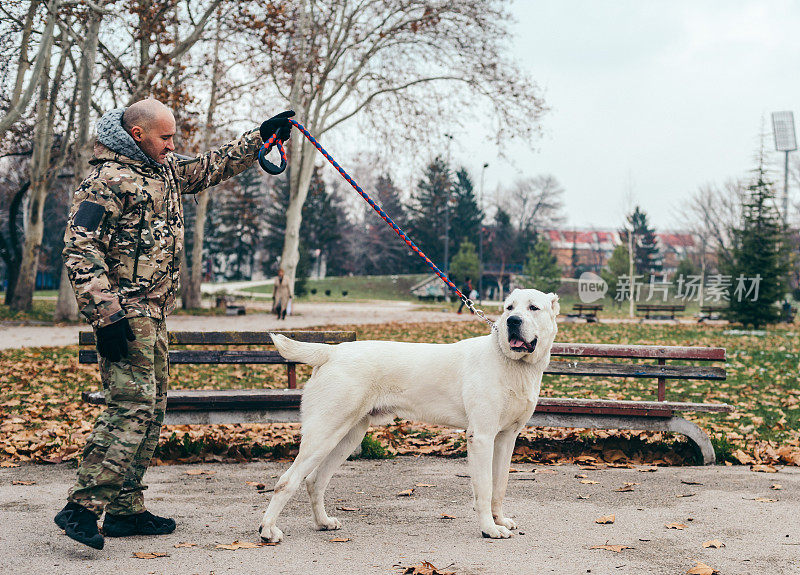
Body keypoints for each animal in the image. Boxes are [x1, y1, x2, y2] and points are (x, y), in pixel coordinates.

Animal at [260, 290, 560, 544]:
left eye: (533, 308)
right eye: (509, 307)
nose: (512, 321)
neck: (511, 364)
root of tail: (332, 351)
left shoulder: (506, 438)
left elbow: (500, 486)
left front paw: (500, 520)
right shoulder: (482, 437)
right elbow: (485, 489)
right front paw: (489, 528)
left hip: (348, 435)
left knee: (314, 480)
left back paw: (323, 523)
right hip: (324, 432)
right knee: (287, 481)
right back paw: (268, 531)